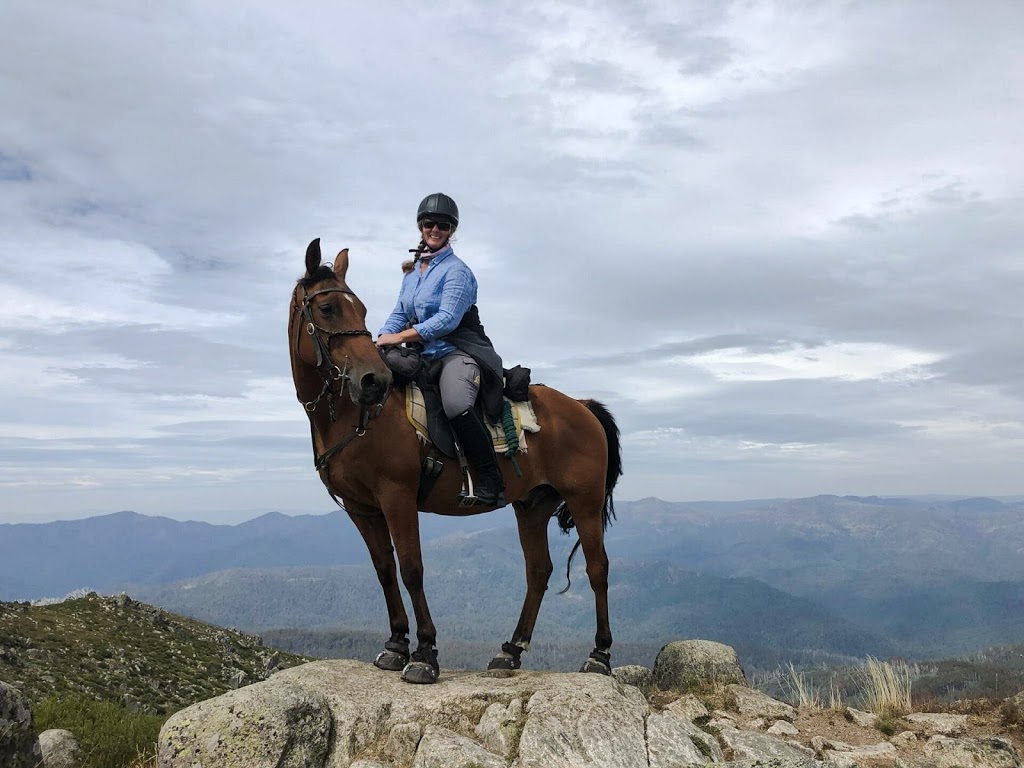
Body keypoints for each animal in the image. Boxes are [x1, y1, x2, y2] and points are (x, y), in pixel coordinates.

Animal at [290, 240, 622, 684]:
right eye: (328, 308)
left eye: (360, 309)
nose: (373, 380)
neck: (356, 416)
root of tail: (583, 407)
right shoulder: (362, 509)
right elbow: (384, 570)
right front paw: (395, 645)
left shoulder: (397, 497)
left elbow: (411, 569)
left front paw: (424, 654)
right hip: (533, 504)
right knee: (538, 571)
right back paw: (510, 651)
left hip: (584, 500)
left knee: (597, 568)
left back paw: (599, 655)